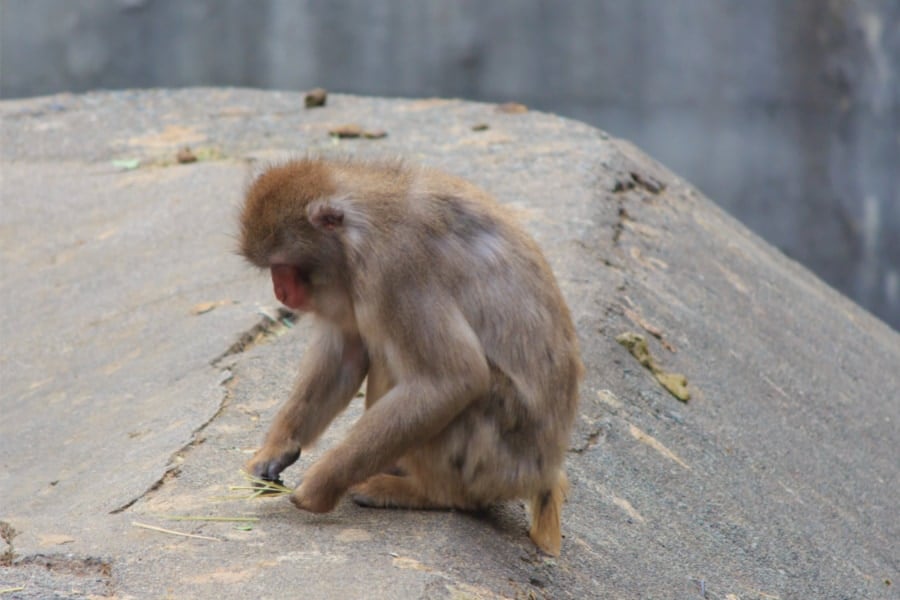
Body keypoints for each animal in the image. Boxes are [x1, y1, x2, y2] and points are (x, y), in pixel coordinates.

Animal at [237, 158, 584, 552]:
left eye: (284, 266)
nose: (280, 293)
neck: (360, 230)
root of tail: (542, 474)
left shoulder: (396, 268)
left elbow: (451, 380)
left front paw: (321, 485)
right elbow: (347, 353)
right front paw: (276, 448)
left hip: (497, 462)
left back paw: (423, 492)